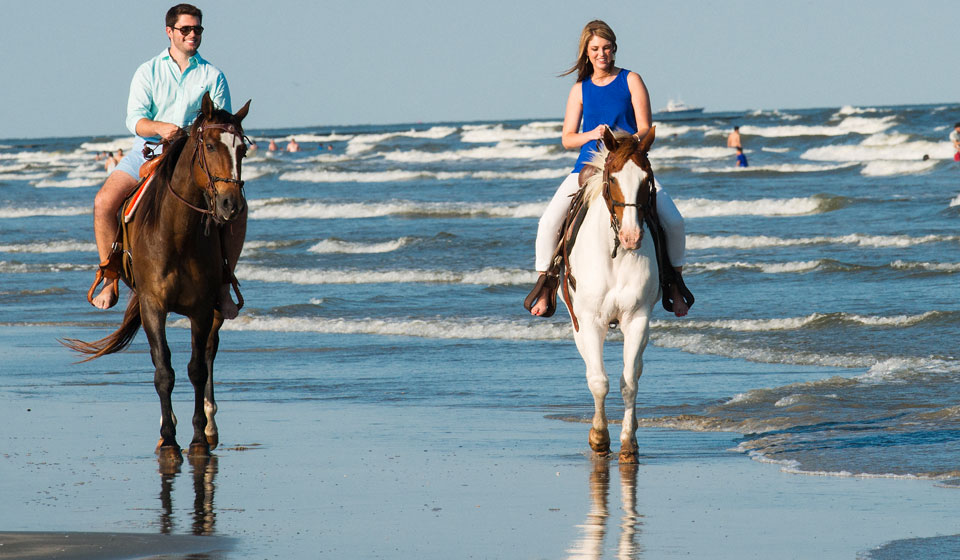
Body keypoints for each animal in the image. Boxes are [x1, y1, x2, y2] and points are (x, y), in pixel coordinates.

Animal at [64, 93, 251, 464]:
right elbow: (163, 370)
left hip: (216, 310)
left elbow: (197, 368)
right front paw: (168, 440)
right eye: (210, 145)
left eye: (242, 151)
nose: (231, 205)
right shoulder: (153, 306)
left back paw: (210, 424)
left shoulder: (201, 309)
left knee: (210, 352)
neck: (177, 234)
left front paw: (198, 438)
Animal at [564, 126, 660, 464]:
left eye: (647, 180)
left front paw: (628, 443)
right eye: (613, 179)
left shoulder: (637, 319)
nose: (632, 237)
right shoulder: (591, 321)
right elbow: (599, 381)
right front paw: (599, 438)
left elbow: (629, 381)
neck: (616, 253)